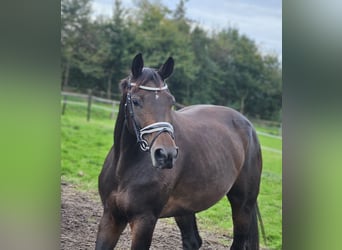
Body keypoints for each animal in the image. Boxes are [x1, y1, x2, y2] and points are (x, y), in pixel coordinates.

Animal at [95, 53, 262, 249]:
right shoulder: (111, 217)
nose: (166, 155)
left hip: (242, 205)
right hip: (185, 208)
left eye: (171, 101)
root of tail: (247, 124)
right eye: (135, 101)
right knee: (192, 241)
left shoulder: (144, 221)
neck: (124, 168)